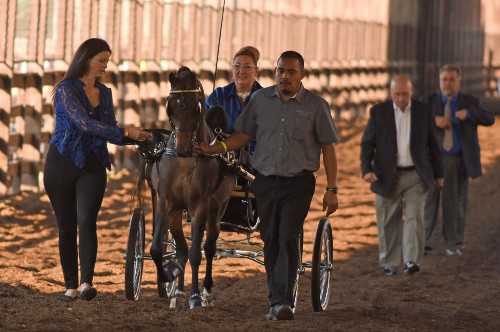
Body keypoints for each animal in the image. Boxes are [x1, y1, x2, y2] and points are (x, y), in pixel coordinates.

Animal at [148, 67, 234, 308]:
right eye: (170, 105)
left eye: (196, 106)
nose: (183, 148)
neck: (185, 163)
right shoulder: (166, 202)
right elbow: (157, 249)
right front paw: (169, 275)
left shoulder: (200, 206)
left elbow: (197, 252)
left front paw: (195, 296)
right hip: (177, 214)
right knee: (181, 250)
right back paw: (178, 289)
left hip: (217, 209)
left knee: (209, 247)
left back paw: (205, 290)